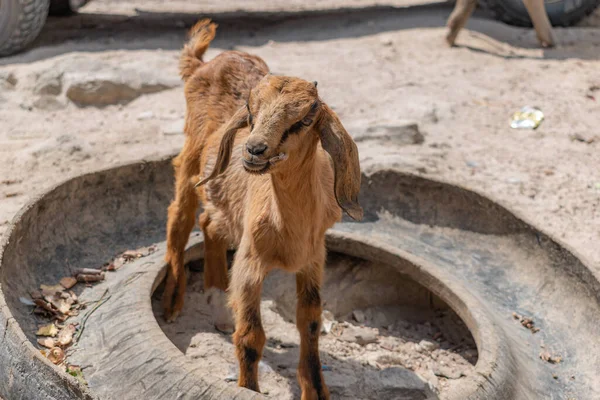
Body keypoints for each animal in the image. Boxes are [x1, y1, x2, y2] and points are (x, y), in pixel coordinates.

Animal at [162, 20, 364, 398]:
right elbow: (251, 336)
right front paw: (249, 387)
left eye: (305, 118)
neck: (289, 229)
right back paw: (172, 300)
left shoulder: (313, 259)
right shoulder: (250, 262)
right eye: (251, 111)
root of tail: (204, 63)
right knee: (180, 216)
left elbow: (311, 322)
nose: (254, 150)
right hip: (192, 154)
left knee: (208, 222)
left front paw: (316, 389)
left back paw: (216, 298)